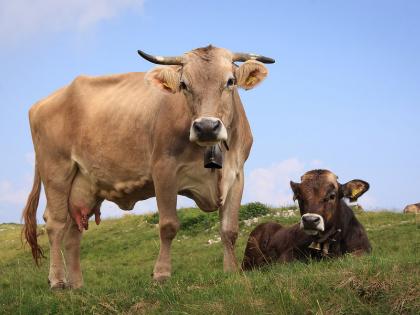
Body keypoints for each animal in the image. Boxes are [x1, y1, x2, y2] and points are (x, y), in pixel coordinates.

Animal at [22, 45, 276, 290]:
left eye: (230, 81)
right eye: (184, 84)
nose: (206, 127)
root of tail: (44, 102)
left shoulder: (236, 175)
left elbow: (229, 229)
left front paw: (231, 271)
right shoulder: (164, 169)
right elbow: (168, 225)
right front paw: (161, 274)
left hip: (84, 185)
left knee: (73, 233)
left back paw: (77, 285)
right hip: (56, 170)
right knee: (55, 224)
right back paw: (57, 281)